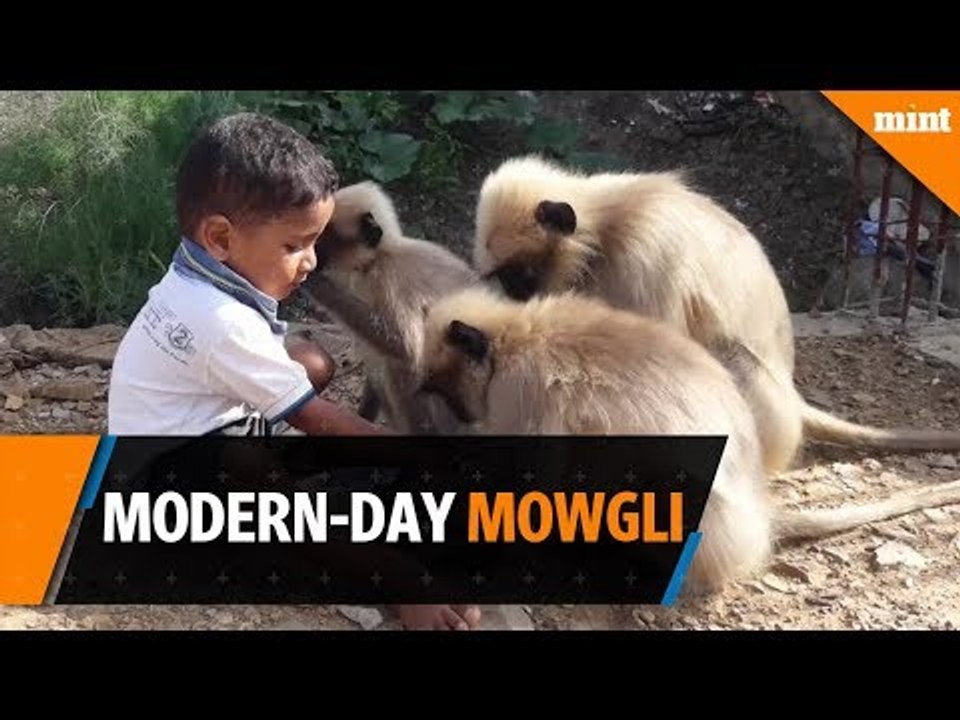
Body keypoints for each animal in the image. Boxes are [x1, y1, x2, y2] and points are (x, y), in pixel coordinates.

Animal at [300, 180, 479, 434]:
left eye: (323, 235)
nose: (310, 251)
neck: (377, 259)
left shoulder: (390, 280)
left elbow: (404, 346)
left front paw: (312, 282)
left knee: (403, 363)